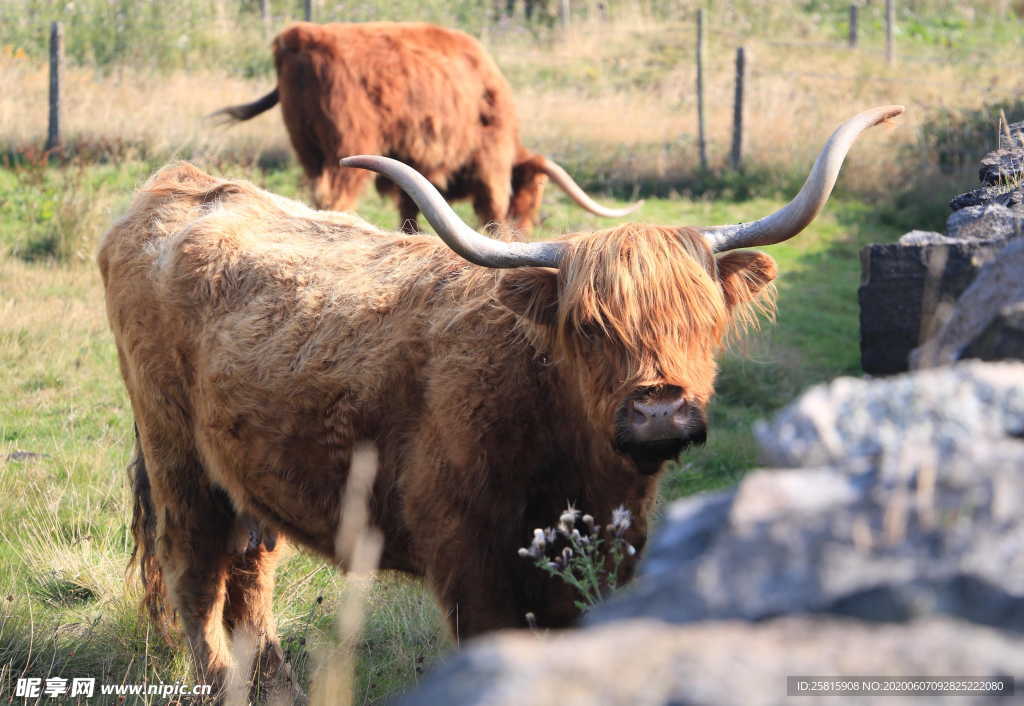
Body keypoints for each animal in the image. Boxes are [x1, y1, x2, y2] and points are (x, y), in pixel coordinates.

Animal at [99, 107, 901, 696]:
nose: (659, 413)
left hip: (246, 471)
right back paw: (221, 684)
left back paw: (278, 686)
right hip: (176, 457)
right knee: (194, 572)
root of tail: (183, 182)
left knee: (249, 572)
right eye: (587, 325)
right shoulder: (470, 563)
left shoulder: (606, 560)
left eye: (704, 321)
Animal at [212, 22, 638, 233]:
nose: (527, 231)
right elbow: (492, 207)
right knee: (335, 196)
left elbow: (410, 207)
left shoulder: (415, 163)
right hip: (348, 146)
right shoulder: (490, 163)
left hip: (308, 147)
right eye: (534, 193)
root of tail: (297, 37)